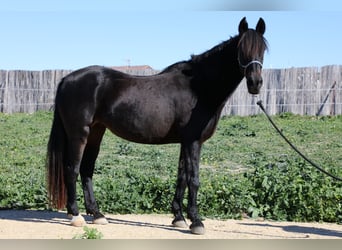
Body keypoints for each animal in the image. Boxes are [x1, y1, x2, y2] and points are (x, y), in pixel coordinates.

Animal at [47, 17, 268, 234]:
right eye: (241, 49)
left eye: (263, 49)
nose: (255, 83)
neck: (199, 87)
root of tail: (67, 79)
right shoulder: (193, 141)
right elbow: (194, 179)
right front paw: (196, 221)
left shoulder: (185, 142)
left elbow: (181, 177)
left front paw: (179, 218)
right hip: (79, 134)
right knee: (72, 169)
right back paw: (75, 215)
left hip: (96, 133)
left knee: (86, 170)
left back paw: (97, 214)